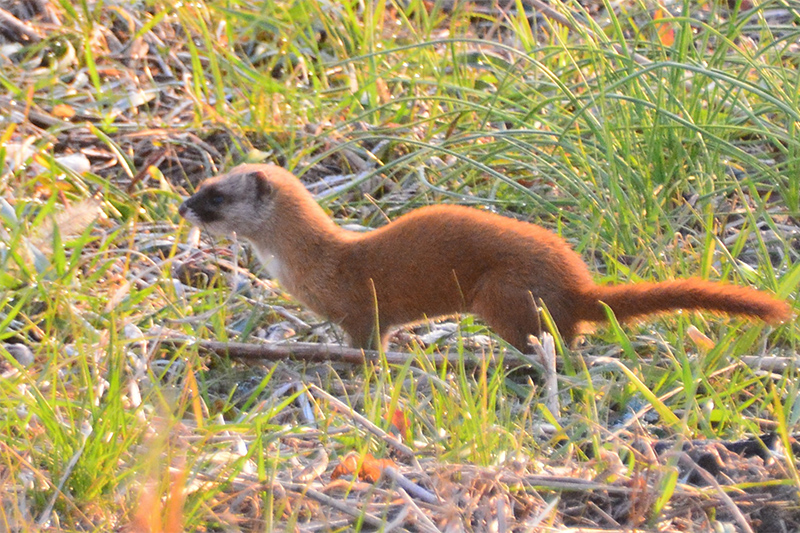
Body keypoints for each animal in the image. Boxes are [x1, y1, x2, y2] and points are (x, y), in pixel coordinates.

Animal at [178, 164, 792, 352]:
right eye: (204, 181)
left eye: (216, 195)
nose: (184, 205)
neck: (311, 265)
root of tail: (577, 284)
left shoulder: (359, 310)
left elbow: (368, 339)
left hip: (501, 292)